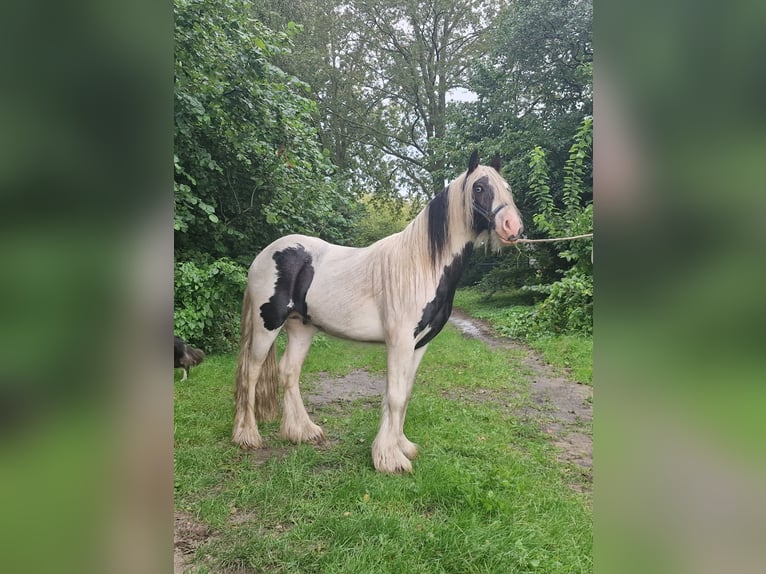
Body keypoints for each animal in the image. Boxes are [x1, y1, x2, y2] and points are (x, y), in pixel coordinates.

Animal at [231, 151, 524, 474]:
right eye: (480, 188)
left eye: (507, 187)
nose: (513, 227)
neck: (422, 266)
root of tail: (262, 256)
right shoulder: (400, 342)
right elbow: (394, 396)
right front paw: (390, 460)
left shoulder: (420, 344)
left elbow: (404, 395)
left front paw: (402, 447)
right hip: (267, 325)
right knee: (250, 373)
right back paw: (247, 436)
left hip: (301, 328)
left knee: (289, 372)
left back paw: (302, 432)